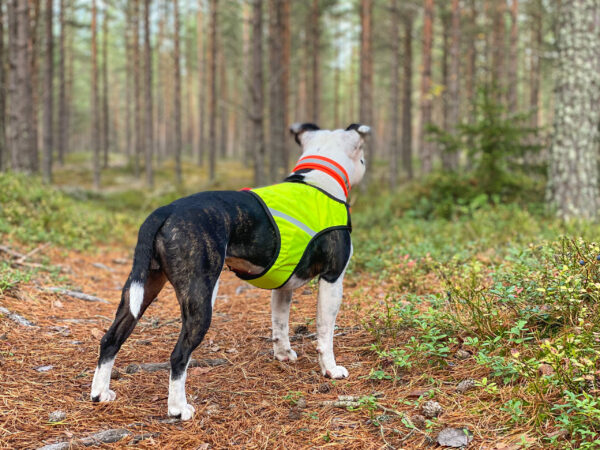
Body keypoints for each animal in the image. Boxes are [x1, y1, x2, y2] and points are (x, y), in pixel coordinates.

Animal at [89, 121, 370, 420]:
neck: (317, 177)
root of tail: (166, 210)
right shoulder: (333, 279)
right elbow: (325, 333)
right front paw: (330, 369)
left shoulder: (283, 286)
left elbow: (280, 324)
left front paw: (283, 354)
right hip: (200, 298)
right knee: (179, 354)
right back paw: (178, 408)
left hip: (141, 288)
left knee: (111, 338)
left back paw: (100, 392)